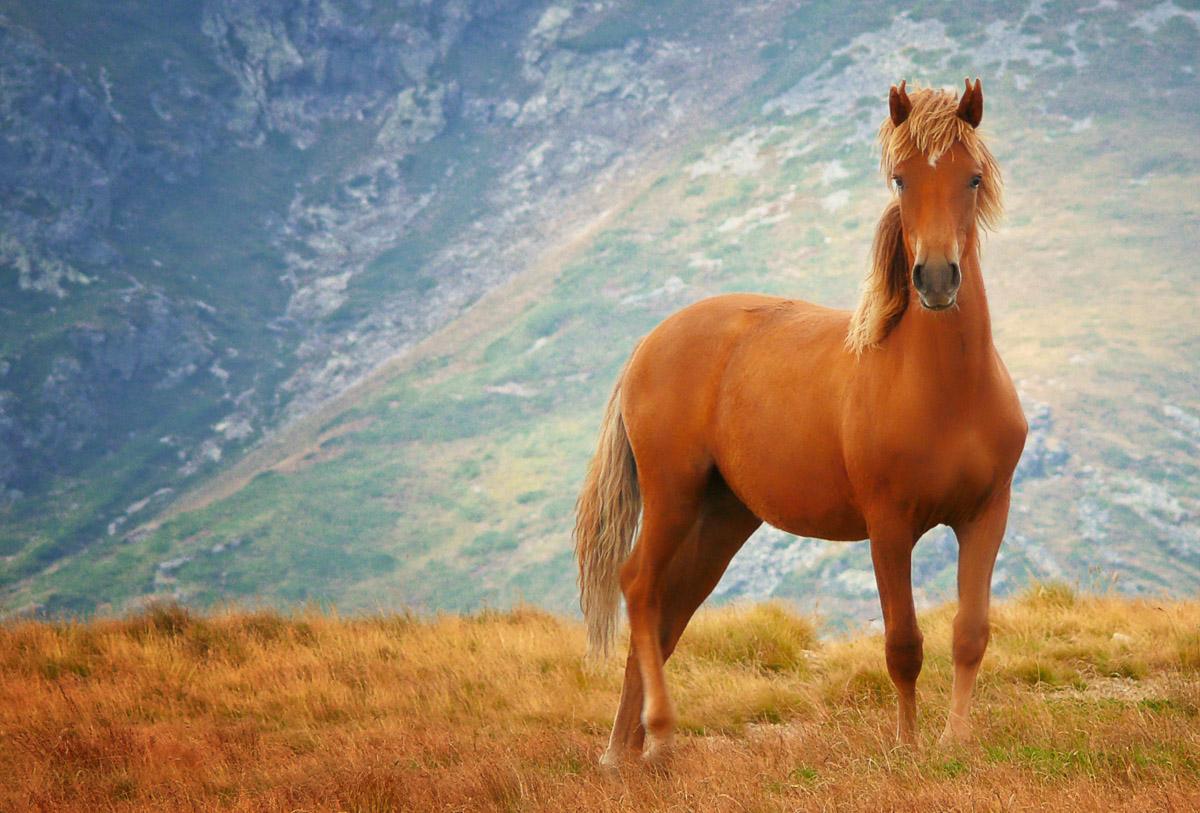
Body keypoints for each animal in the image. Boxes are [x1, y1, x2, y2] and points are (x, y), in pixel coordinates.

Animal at [574, 79, 1027, 766]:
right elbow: (903, 644)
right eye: (900, 178)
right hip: (673, 497)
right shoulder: (889, 526)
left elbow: (969, 633)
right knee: (639, 588)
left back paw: (625, 755)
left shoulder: (985, 514)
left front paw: (956, 742)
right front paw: (906, 747)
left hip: (722, 518)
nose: (936, 279)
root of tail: (650, 344)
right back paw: (656, 735)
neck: (947, 393)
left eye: (971, 178)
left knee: (669, 614)